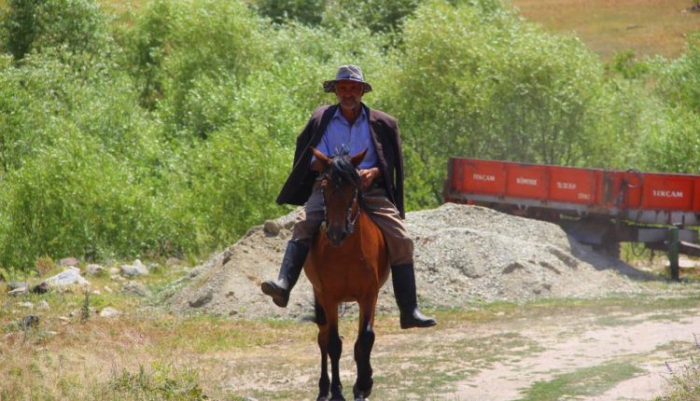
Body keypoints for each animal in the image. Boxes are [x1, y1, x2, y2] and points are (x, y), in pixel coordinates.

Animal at [304, 148, 392, 400]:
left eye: (353, 188)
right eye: (323, 187)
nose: (336, 233)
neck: (346, 253)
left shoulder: (369, 295)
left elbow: (366, 338)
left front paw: (363, 384)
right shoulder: (329, 298)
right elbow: (333, 344)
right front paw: (336, 391)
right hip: (320, 298)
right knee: (323, 339)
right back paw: (324, 388)